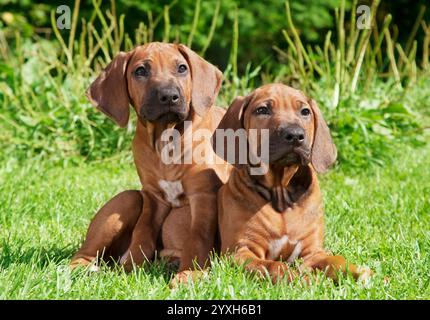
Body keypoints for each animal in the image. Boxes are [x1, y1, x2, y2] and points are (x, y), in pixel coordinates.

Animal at [71, 43, 232, 284]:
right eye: (140, 71)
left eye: (182, 68)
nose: (169, 96)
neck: (166, 138)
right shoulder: (152, 196)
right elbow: (143, 233)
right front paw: (132, 267)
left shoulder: (203, 194)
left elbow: (198, 236)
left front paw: (189, 274)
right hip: (129, 198)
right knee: (82, 254)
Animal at [213, 84, 372, 284]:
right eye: (262, 110)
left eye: (305, 111)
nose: (295, 135)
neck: (281, 191)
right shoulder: (239, 251)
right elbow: (272, 265)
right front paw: (299, 279)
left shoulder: (313, 252)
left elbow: (336, 260)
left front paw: (360, 272)